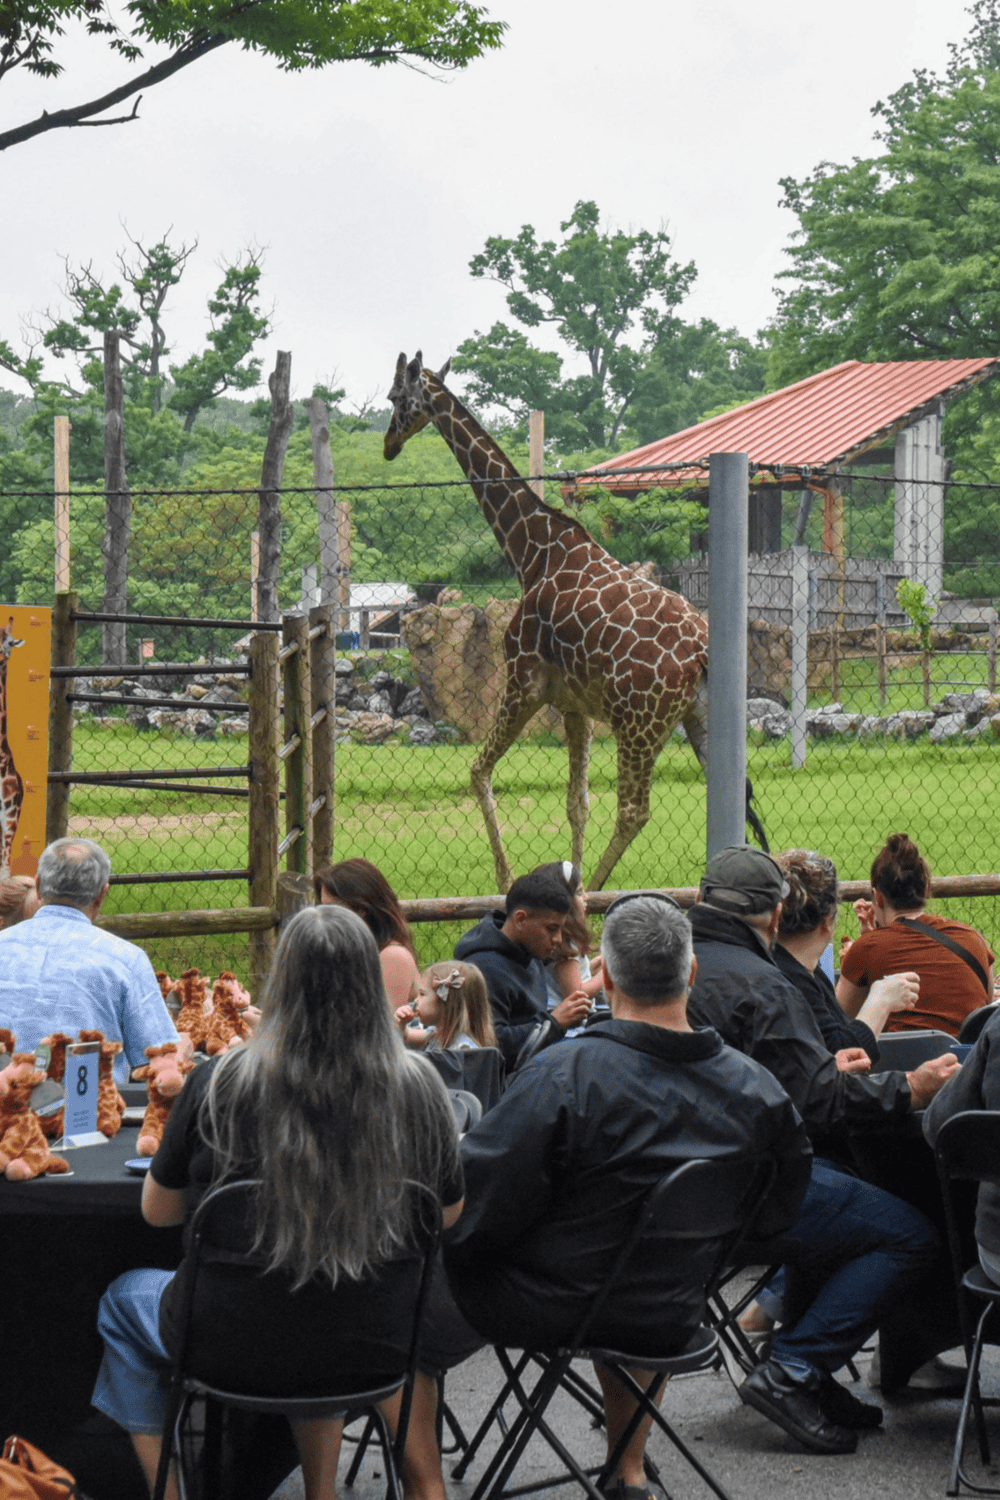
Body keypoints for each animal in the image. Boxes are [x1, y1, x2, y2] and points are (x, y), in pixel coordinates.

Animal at [385, 353, 767, 891]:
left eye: (396, 397)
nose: (388, 445)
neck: (531, 552)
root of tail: (704, 654)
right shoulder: (574, 705)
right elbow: (576, 804)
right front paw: (566, 879)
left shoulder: (524, 680)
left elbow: (478, 772)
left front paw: (508, 880)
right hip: (699, 718)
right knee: (736, 801)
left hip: (639, 724)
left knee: (634, 811)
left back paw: (597, 890)